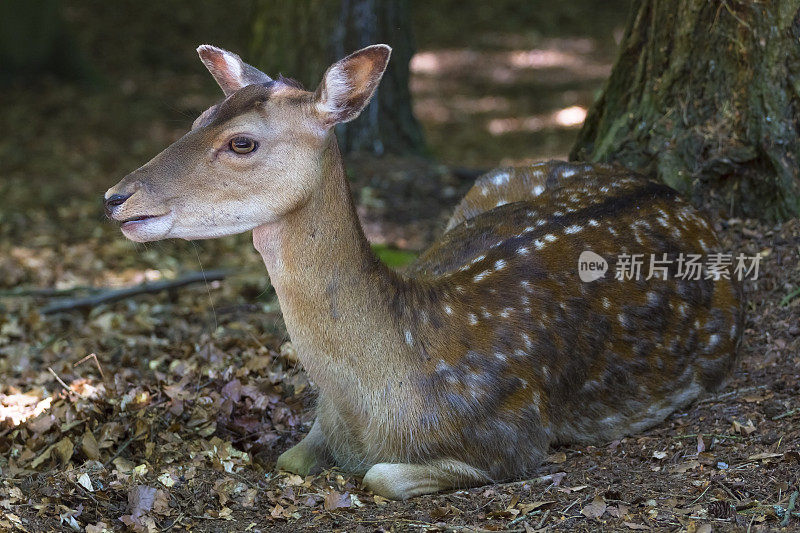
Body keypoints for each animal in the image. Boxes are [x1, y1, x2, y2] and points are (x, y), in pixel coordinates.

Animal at [104, 42, 744, 498]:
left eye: (242, 142)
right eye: (197, 118)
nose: (116, 197)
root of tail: (674, 192)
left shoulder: (512, 439)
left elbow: (380, 477)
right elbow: (289, 457)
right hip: (491, 180)